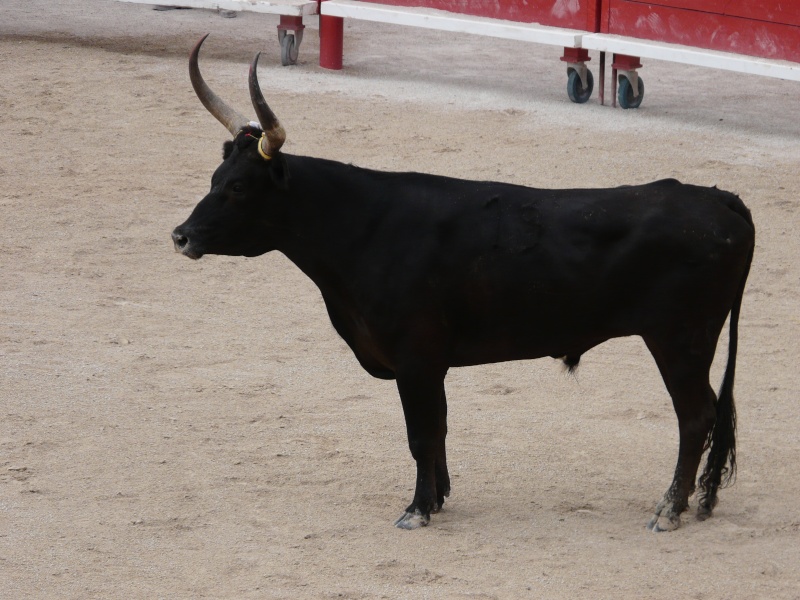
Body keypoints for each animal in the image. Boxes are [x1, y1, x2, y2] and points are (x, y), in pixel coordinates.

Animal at [172, 37, 752, 532]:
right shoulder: (431, 361)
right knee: (710, 414)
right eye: (213, 180)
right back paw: (698, 502)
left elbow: (421, 432)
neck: (366, 226)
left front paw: (417, 509)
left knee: (695, 416)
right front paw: (440, 497)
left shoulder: (415, 356)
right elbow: (441, 427)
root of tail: (719, 198)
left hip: (680, 339)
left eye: (239, 187)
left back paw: (668, 510)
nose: (181, 235)